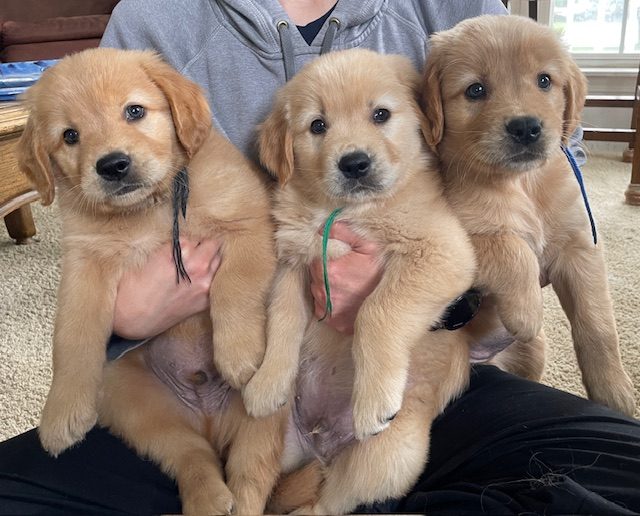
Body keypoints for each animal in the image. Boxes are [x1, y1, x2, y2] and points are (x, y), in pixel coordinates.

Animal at [18, 46, 284, 512]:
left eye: (135, 111)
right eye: (69, 136)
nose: (113, 165)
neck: (150, 208)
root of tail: (207, 417)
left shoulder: (249, 225)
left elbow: (234, 286)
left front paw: (239, 354)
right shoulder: (84, 264)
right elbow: (72, 335)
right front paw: (60, 414)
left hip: (262, 415)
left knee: (251, 476)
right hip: (136, 404)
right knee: (192, 457)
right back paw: (208, 499)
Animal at [242, 47, 478, 512]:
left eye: (380, 114)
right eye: (318, 125)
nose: (354, 163)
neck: (343, 210)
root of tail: (320, 445)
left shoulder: (442, 251)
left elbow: (377, 311)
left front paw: (373, 401)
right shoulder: (295, 265)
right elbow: (281, 322)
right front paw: (267, 381)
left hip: (388, 456)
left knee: (327, 503)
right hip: (271, 439)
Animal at [420, 15, 636, 416]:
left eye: (544, 81)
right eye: (475, 90)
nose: (525, 127)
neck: (522, 185)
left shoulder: (579, 245)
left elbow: (598, 324)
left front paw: (613, 391)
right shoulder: (446, 239)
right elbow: (512, 247)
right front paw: (527, 311)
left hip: (534, 352)